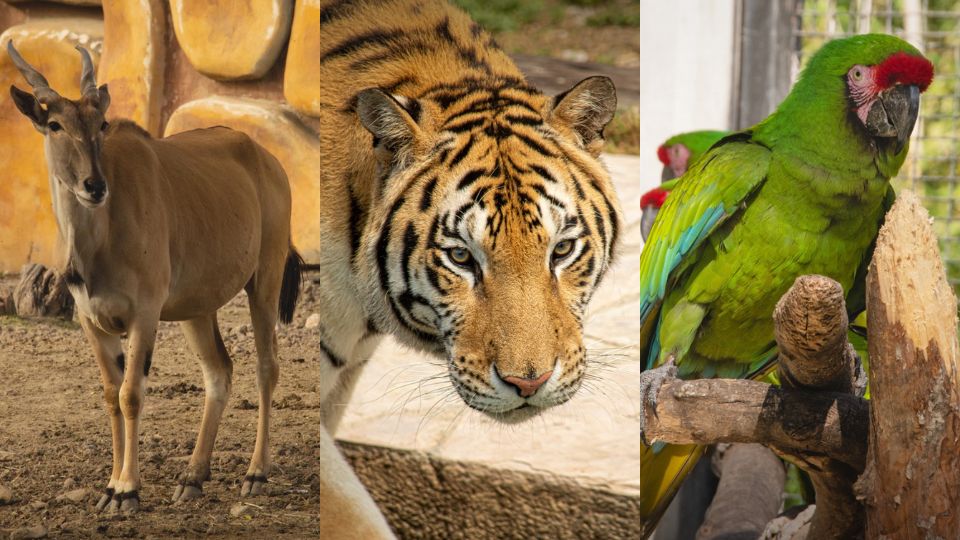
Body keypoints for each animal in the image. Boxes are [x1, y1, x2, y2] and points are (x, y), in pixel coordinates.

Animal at [6, 43, 300, 516]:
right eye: (54, 124)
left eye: (101, 124)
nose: (94, 186)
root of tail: (266, 159)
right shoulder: (92, 321)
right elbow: (111, 394)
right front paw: (110, 486)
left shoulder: (144, 314)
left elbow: (131, 394)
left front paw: (127, 489)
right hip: (198, 310)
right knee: (219, 371)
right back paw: (192, 476)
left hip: (265, 281)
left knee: (265, 366)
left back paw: (256, 473)